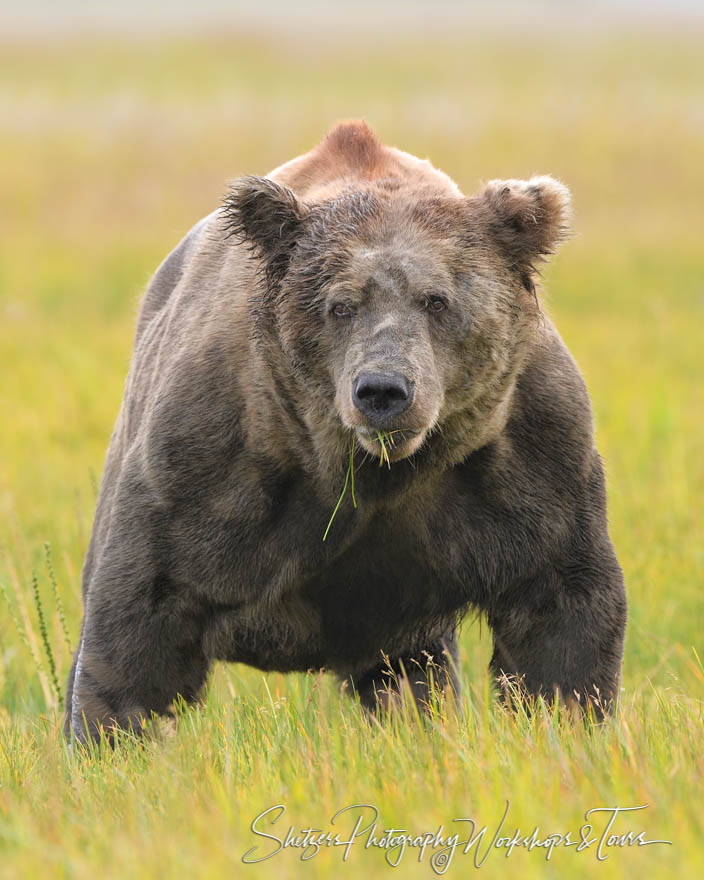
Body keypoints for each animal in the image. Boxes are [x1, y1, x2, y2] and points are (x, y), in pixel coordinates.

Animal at [64, 122, 628, 744]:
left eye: (436, 300)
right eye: (339, 305)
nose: (383, 390)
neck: (374, 469)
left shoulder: (526, 465)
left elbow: (559, 614)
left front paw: (567, 724)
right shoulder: (212, 462)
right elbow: (143, 615)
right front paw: (111, 737)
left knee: (412, 676)